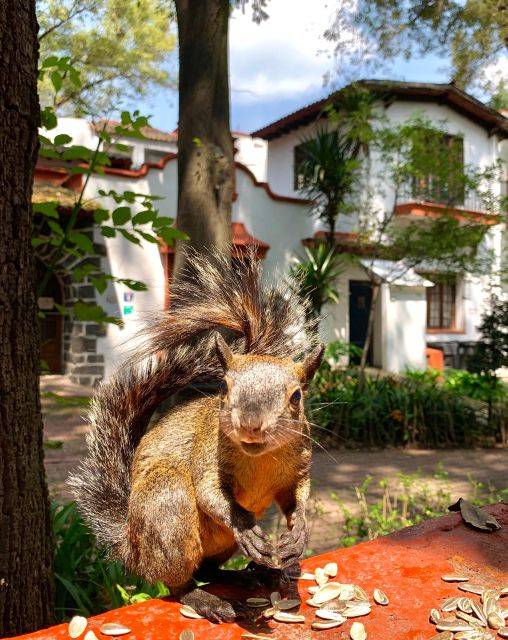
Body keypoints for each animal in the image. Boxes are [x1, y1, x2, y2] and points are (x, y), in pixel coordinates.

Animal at [67, 250, 324, 620]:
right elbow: (209, 493)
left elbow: (297, 497)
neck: (261, 458)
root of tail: (132, 546)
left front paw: (298, 534)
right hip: (168, 501)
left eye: (296, 396)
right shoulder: (206, 454)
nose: (251, 424)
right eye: (225, 388)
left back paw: (255, 573)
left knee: (207, 569)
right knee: (176, 582)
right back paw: (204, 598)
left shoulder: (298, 468)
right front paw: (245, 526)